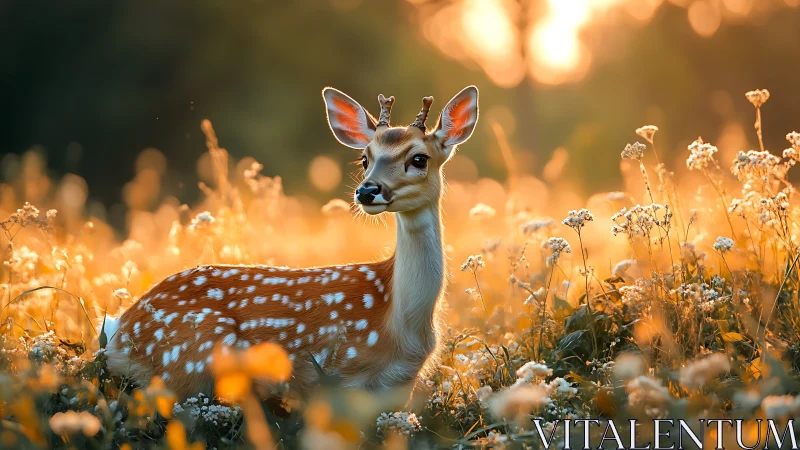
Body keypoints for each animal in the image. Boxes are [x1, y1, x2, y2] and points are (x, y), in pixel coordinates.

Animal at [103, 85, 479, 399]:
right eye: (365, 159)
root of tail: (119, 331)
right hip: (191, 357)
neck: (401, 325)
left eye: (419, 158)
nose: (368, 190)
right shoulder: (340, 375)